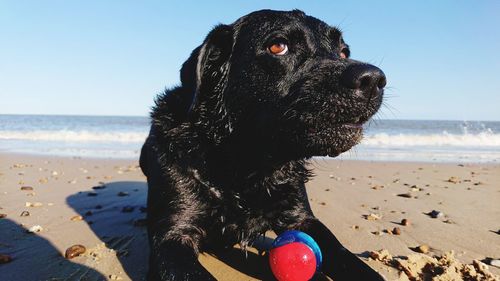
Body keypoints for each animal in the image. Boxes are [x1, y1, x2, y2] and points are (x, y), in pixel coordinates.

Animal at [141, 9, 386, 280]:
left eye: (343, 51)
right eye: (278, 46)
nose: (373, 80)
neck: (247, 167)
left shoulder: (302, 217)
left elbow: (346, 255)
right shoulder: (172, 237)